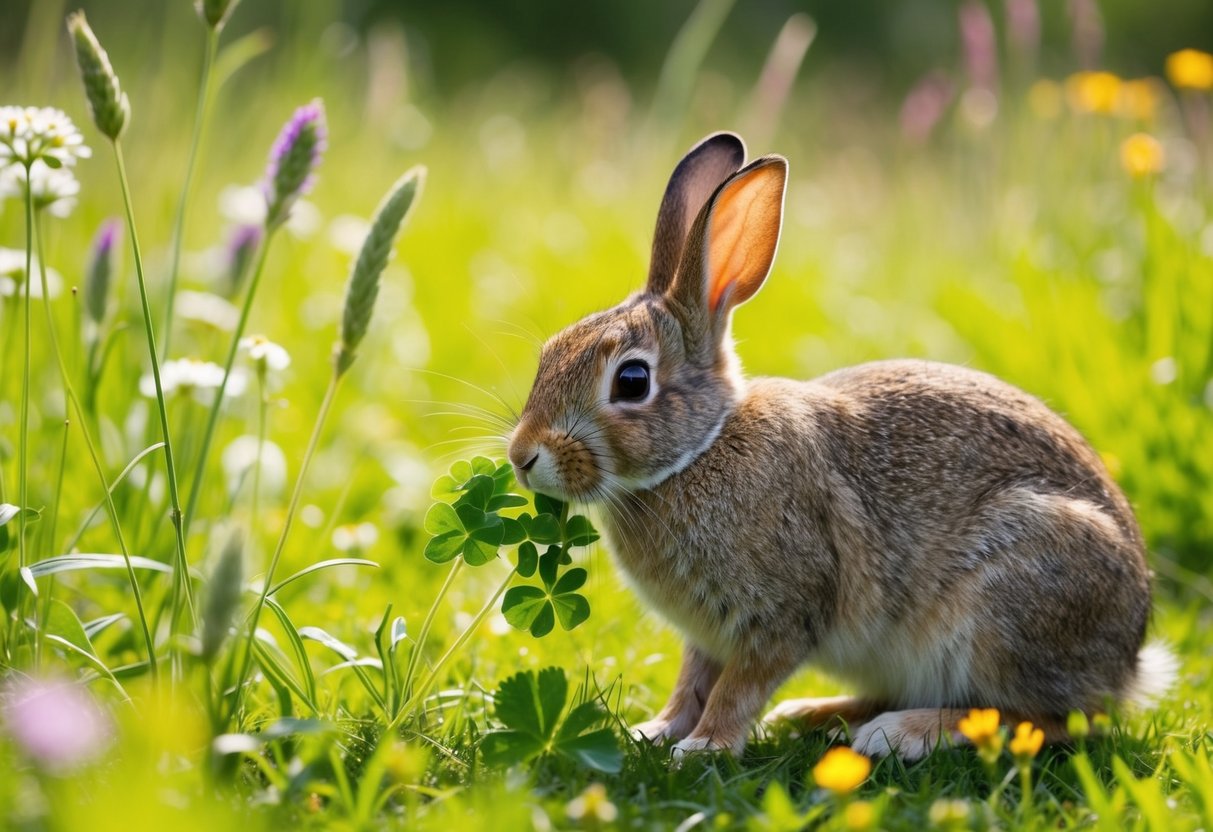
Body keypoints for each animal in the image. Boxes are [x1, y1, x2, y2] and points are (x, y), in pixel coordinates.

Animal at [506, 132, 1175, 760]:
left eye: (632, 381)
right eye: (550, 351)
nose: (522, 457)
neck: (702, 449)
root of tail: (1128, 661)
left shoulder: (782, 613)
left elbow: (737, 687)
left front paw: (705, 747)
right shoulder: (707, 634)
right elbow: (692, 681)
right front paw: (658, 730)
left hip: (1007, 604)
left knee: (1044, 718)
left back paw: (897, 734)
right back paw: (812, 714)